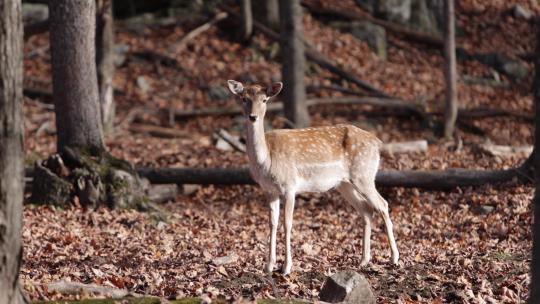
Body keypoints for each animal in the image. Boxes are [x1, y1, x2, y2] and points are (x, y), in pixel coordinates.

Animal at [226, 79, 398, 274]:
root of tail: (378, 142)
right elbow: (272, 223)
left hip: (364, 175)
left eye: (264, 100)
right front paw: (269, 266)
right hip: (344, 183)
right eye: (244, 98)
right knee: (367, 209)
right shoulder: (269, 190)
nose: (253, 117)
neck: (266, 160)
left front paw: (286, 267)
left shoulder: (289, 186)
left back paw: (394, 258)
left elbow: (287, 223)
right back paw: (363, 260)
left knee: (383, 204)